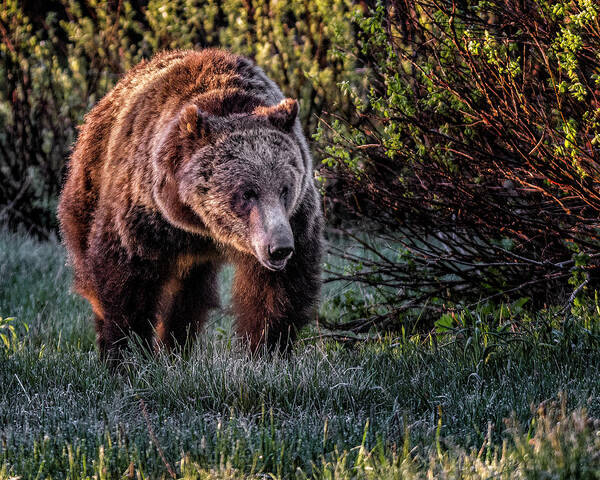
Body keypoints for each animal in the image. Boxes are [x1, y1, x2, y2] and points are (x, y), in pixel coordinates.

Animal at [57, 49, 324, 364]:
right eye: (246, 193)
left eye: (285, 188)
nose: (279, 248)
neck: (200, 225)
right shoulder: (144, 213)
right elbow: (126, 279)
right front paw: (126, 353)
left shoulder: (295, 218)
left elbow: (279, 289)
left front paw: (266, 350)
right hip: (87, 189)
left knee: (189, 296)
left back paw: (175, 347)